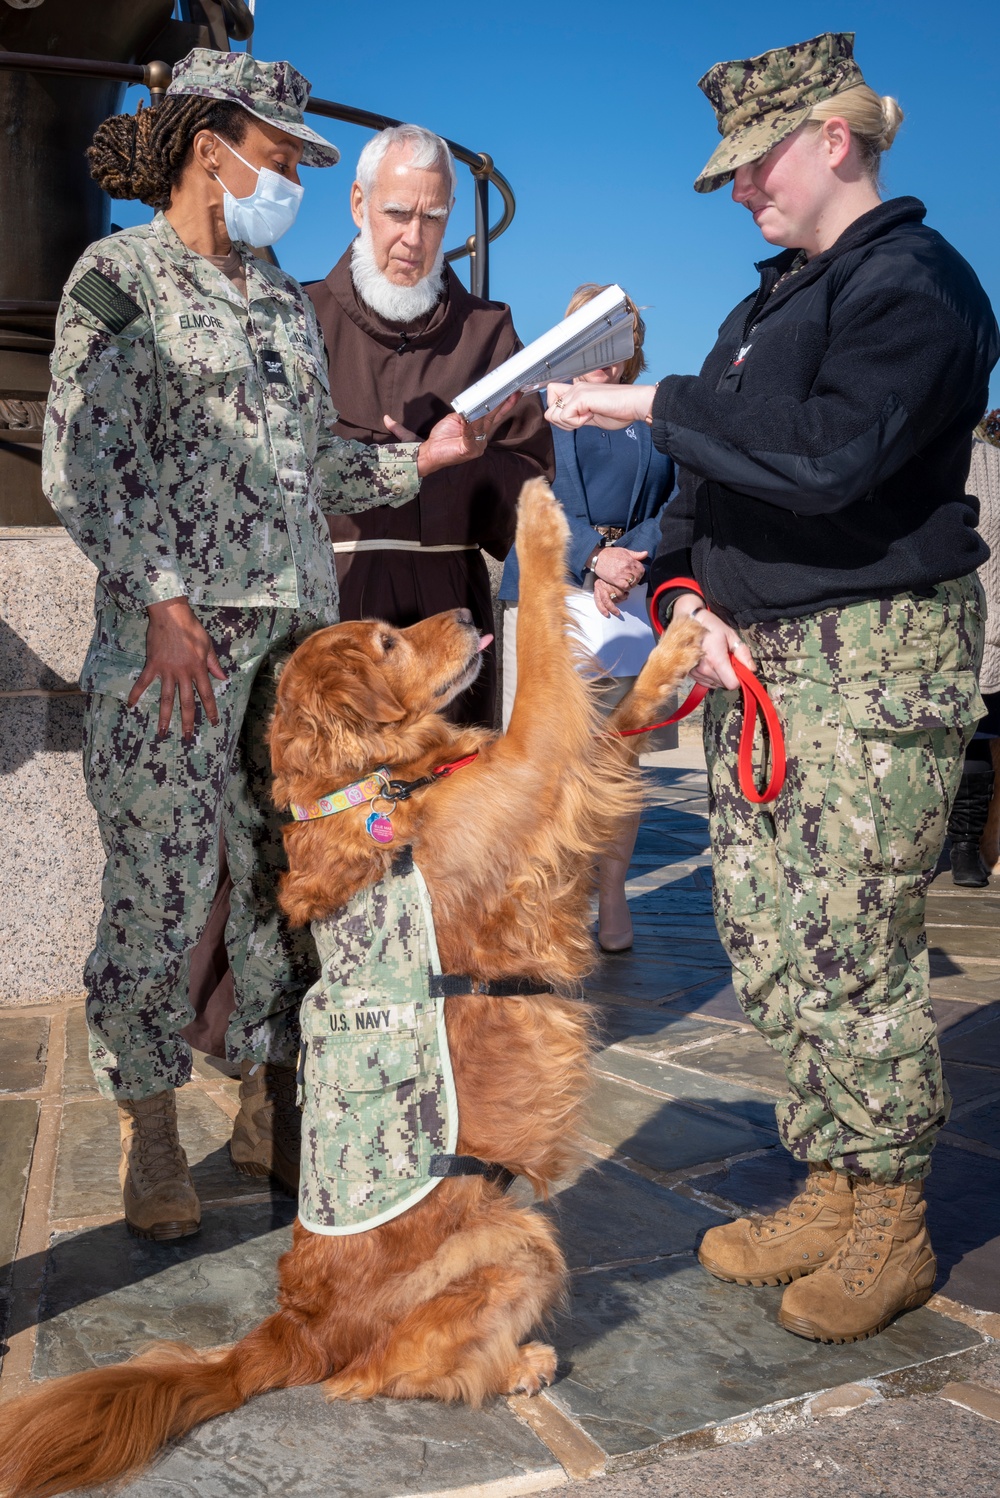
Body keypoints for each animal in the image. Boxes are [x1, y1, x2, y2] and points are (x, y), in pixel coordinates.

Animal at [0, 482, 703, 1498]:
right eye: (386, 642)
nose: (468, 615)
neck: (369, 779)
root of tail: (294, 1328)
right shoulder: (530, 765)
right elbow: (545, 663)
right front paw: (541, 518)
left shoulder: (544, 774)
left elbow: (612, 710)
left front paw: (682, 649)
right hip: (518, 1237)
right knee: (388, 1374)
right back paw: (522, 1364)